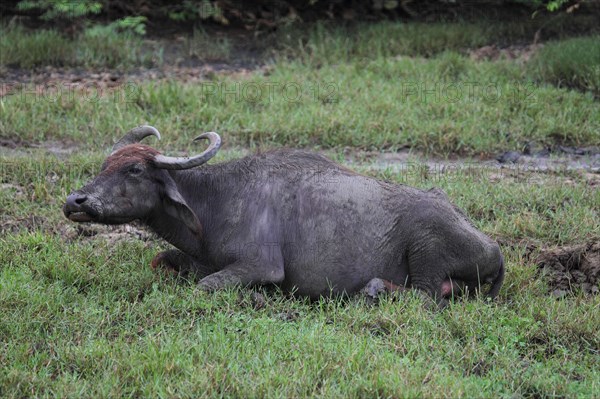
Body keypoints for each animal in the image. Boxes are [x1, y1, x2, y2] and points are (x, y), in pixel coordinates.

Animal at [65, 126, 504, 306]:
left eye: (134, 170)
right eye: (105, 165)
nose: (75, 201)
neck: (216, 203)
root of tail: (494, 248)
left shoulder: (262, 265)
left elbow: (205, 286)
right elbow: (161, 261)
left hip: (426, 247)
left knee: (426, 296)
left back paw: (374, 289)